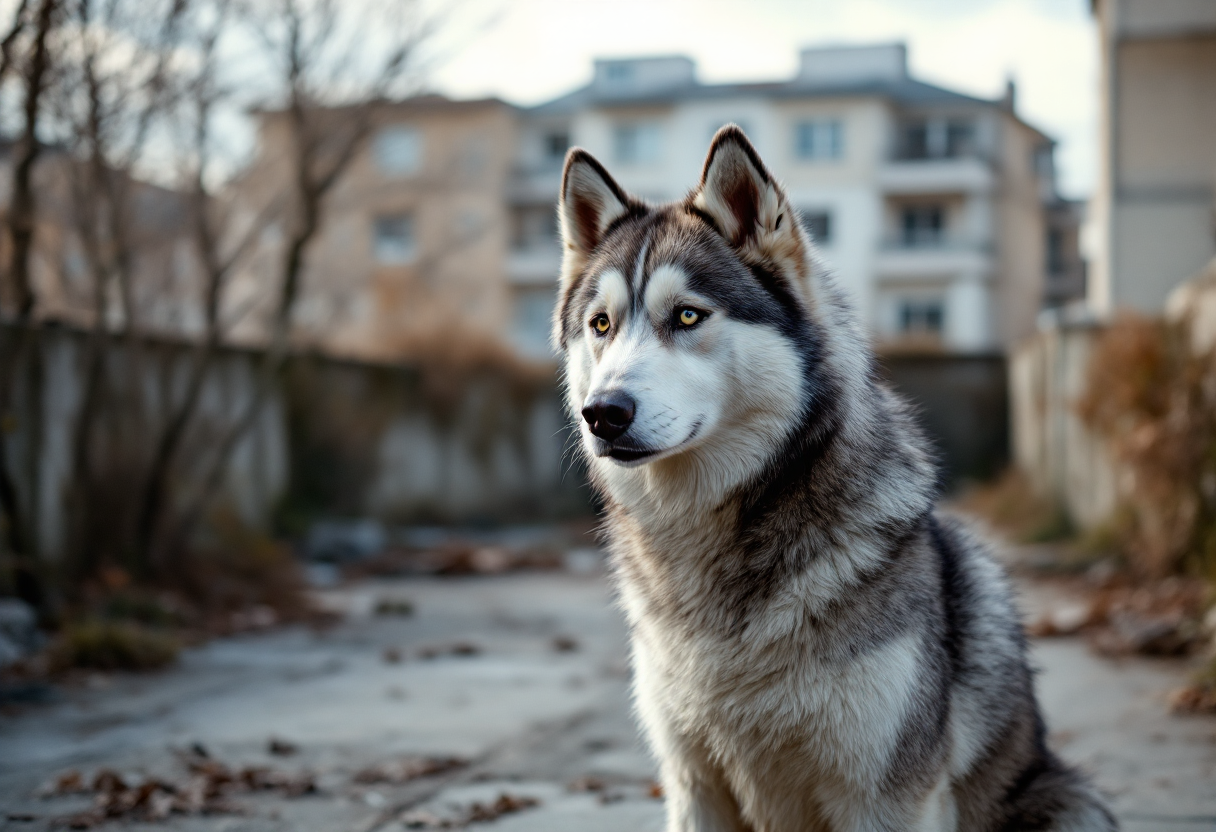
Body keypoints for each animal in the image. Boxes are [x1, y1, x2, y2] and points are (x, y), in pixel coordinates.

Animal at [556, 125, 1113, 832]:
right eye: (600, 325)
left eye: (686, 316)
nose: (602, 413)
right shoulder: (693, 786)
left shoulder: (886, 795)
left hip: (1070, 802)